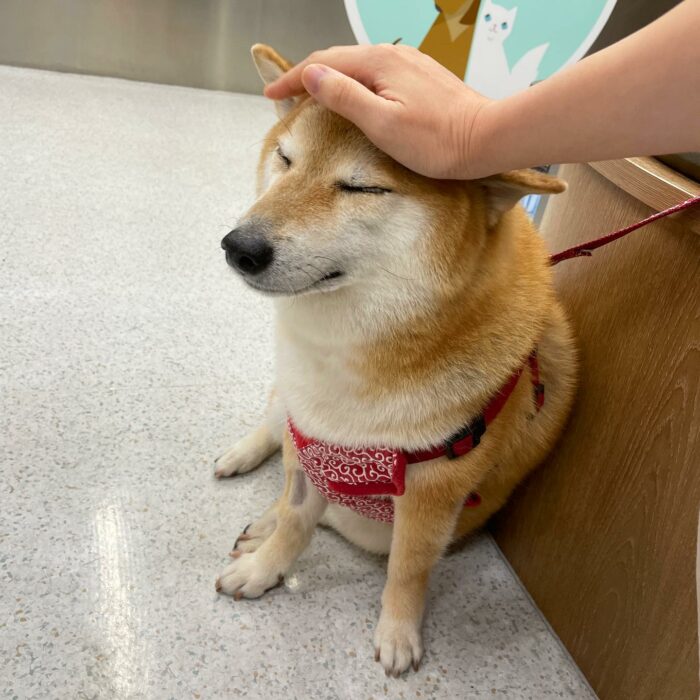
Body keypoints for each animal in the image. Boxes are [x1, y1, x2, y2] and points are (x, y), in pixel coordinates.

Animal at [216, 43, 576, 680]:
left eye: (361, 188)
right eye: (286, 158)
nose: (240, 247)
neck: (348, 359)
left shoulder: (433, 493)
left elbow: (406, 568)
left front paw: (398, 633)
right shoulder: (310, 439)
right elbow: (295, 518)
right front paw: (264, 568)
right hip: (287, 411)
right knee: (272, 424)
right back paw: (244, 466)